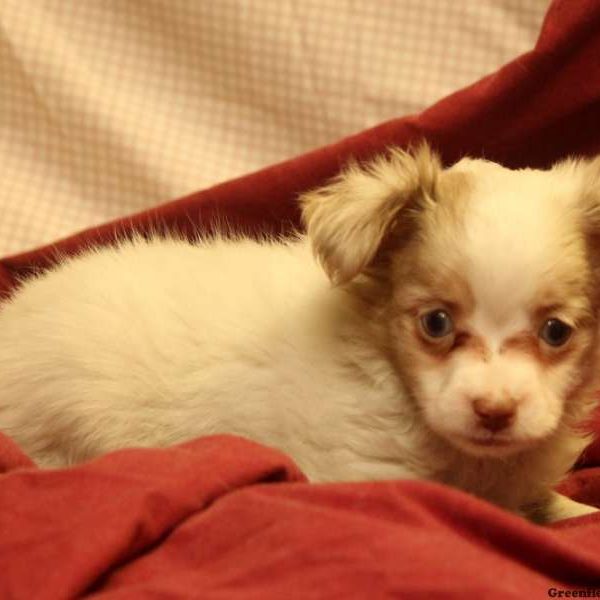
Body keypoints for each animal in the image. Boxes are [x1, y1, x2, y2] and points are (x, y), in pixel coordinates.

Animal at [1, 145, 600, 520]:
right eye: (436, 323)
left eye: (556, 331)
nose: (494, 412)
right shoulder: (361, 472)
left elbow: (553, 506)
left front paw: (575, 509)